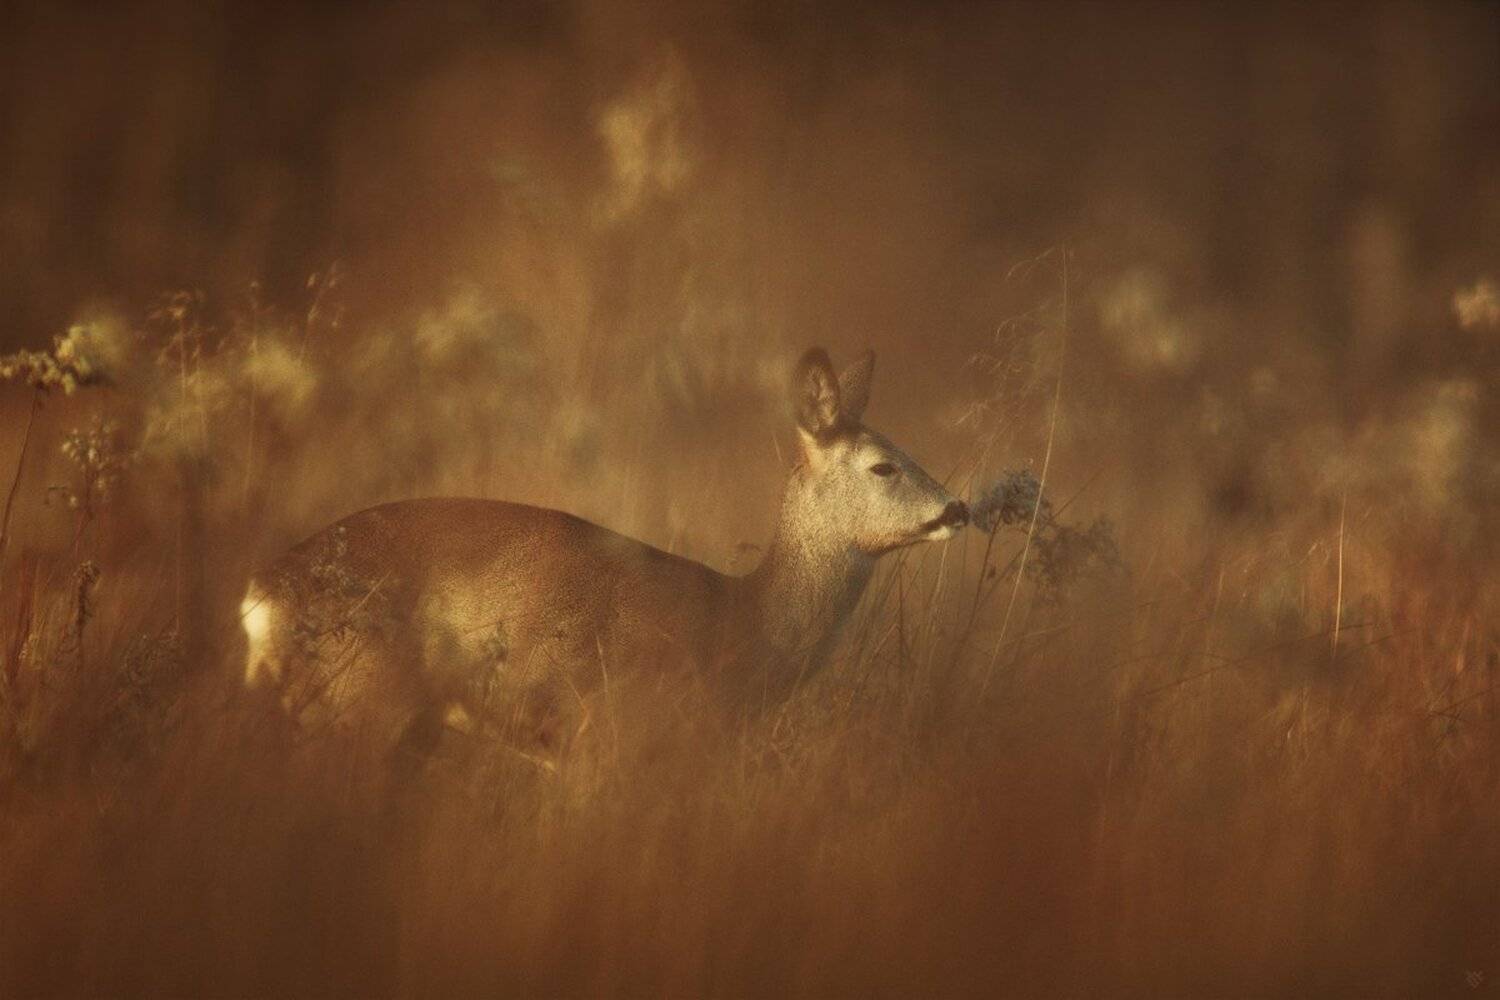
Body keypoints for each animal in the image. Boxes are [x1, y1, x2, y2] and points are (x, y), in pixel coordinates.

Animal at [239, 347, 969, 757]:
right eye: (883, 466)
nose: (957, 509)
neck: (740, 626)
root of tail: (260, 596)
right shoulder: (612, 740)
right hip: (358, 705)